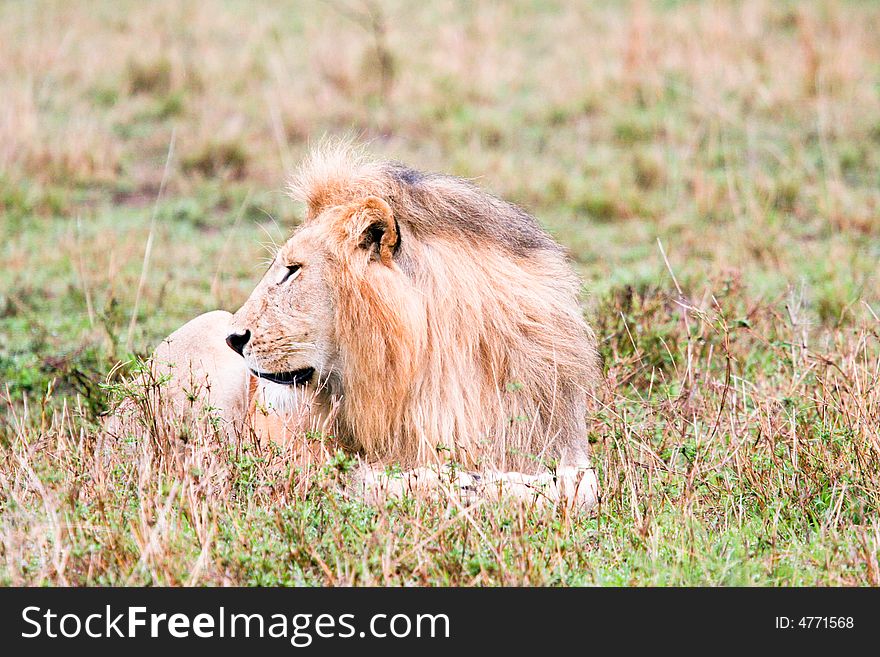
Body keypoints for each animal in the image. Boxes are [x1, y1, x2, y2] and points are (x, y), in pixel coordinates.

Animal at [139, 144, 604, 510]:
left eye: (292, 270)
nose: (235, 339)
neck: (436, 365)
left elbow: (585, 486)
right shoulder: (307, 461)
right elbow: (408, 480)